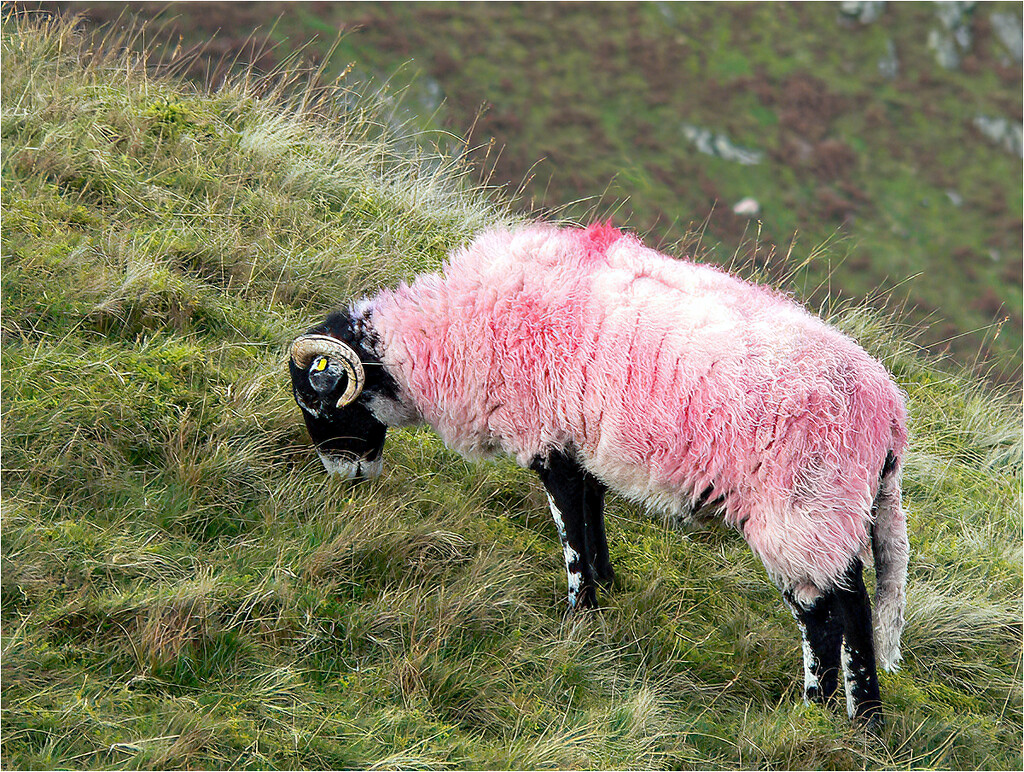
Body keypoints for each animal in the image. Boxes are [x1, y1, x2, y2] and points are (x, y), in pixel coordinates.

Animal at [290, 222, 913, 728]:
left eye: (318, 403)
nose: (346, 481)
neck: (452, 333)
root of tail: (888, 415)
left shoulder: (546, 437)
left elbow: (570, 532)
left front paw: (578, 615)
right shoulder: (579, 441)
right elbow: (591, 514)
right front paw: (607, 585)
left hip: (802, 511)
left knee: (829, 611)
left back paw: (822, 709)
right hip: (827, 512)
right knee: (846, 604)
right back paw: (854, 718)